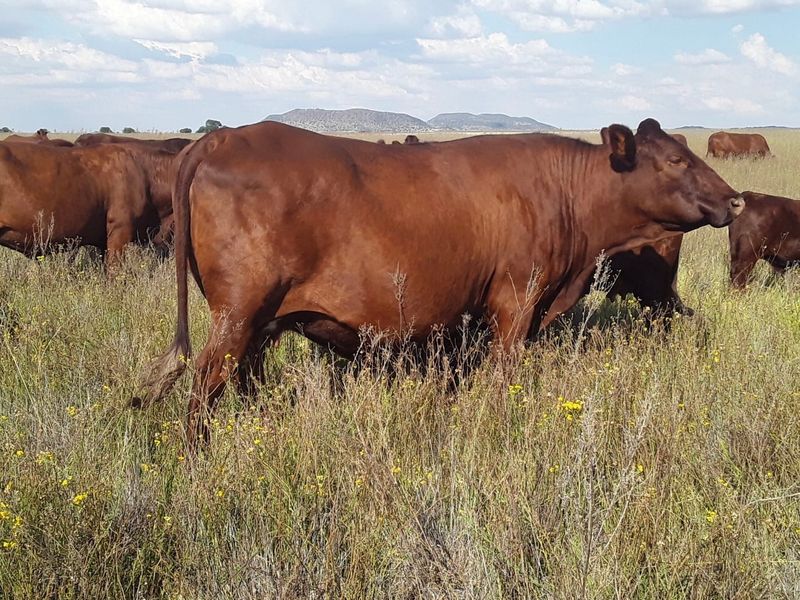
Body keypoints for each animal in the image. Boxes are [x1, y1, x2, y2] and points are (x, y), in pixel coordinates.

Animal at [134, 117, 743, 449]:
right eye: (673, 160)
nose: (735, 199)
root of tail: (222, 139)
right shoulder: (515, 304)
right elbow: (502, 380)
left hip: (263, 322)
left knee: (241, 381)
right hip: (237, 316)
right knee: (204, 389)